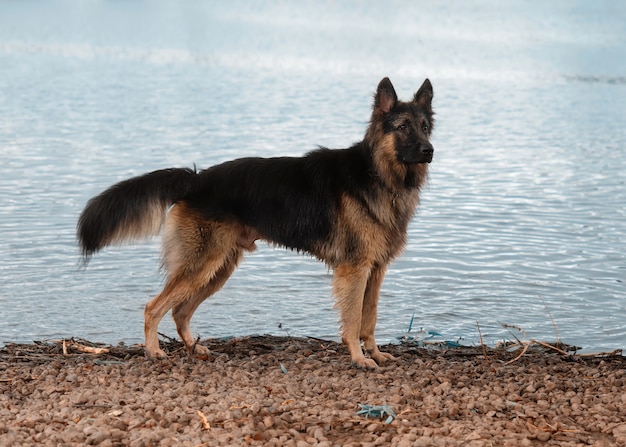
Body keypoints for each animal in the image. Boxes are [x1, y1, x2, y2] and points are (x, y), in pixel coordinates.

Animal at [75, 77, 432, 370]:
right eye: (402, 127)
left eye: (425, 127)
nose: (429, 150)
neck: (377, 174)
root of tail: (196, 178)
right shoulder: (355, 270)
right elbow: (354, 319)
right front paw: (359, 358)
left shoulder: (376, 270)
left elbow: (369, 319)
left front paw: (375, 354)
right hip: (201, 265)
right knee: (154, 307)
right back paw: (153, 351)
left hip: (217, 269)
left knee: (179, 311)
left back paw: (192, 347)